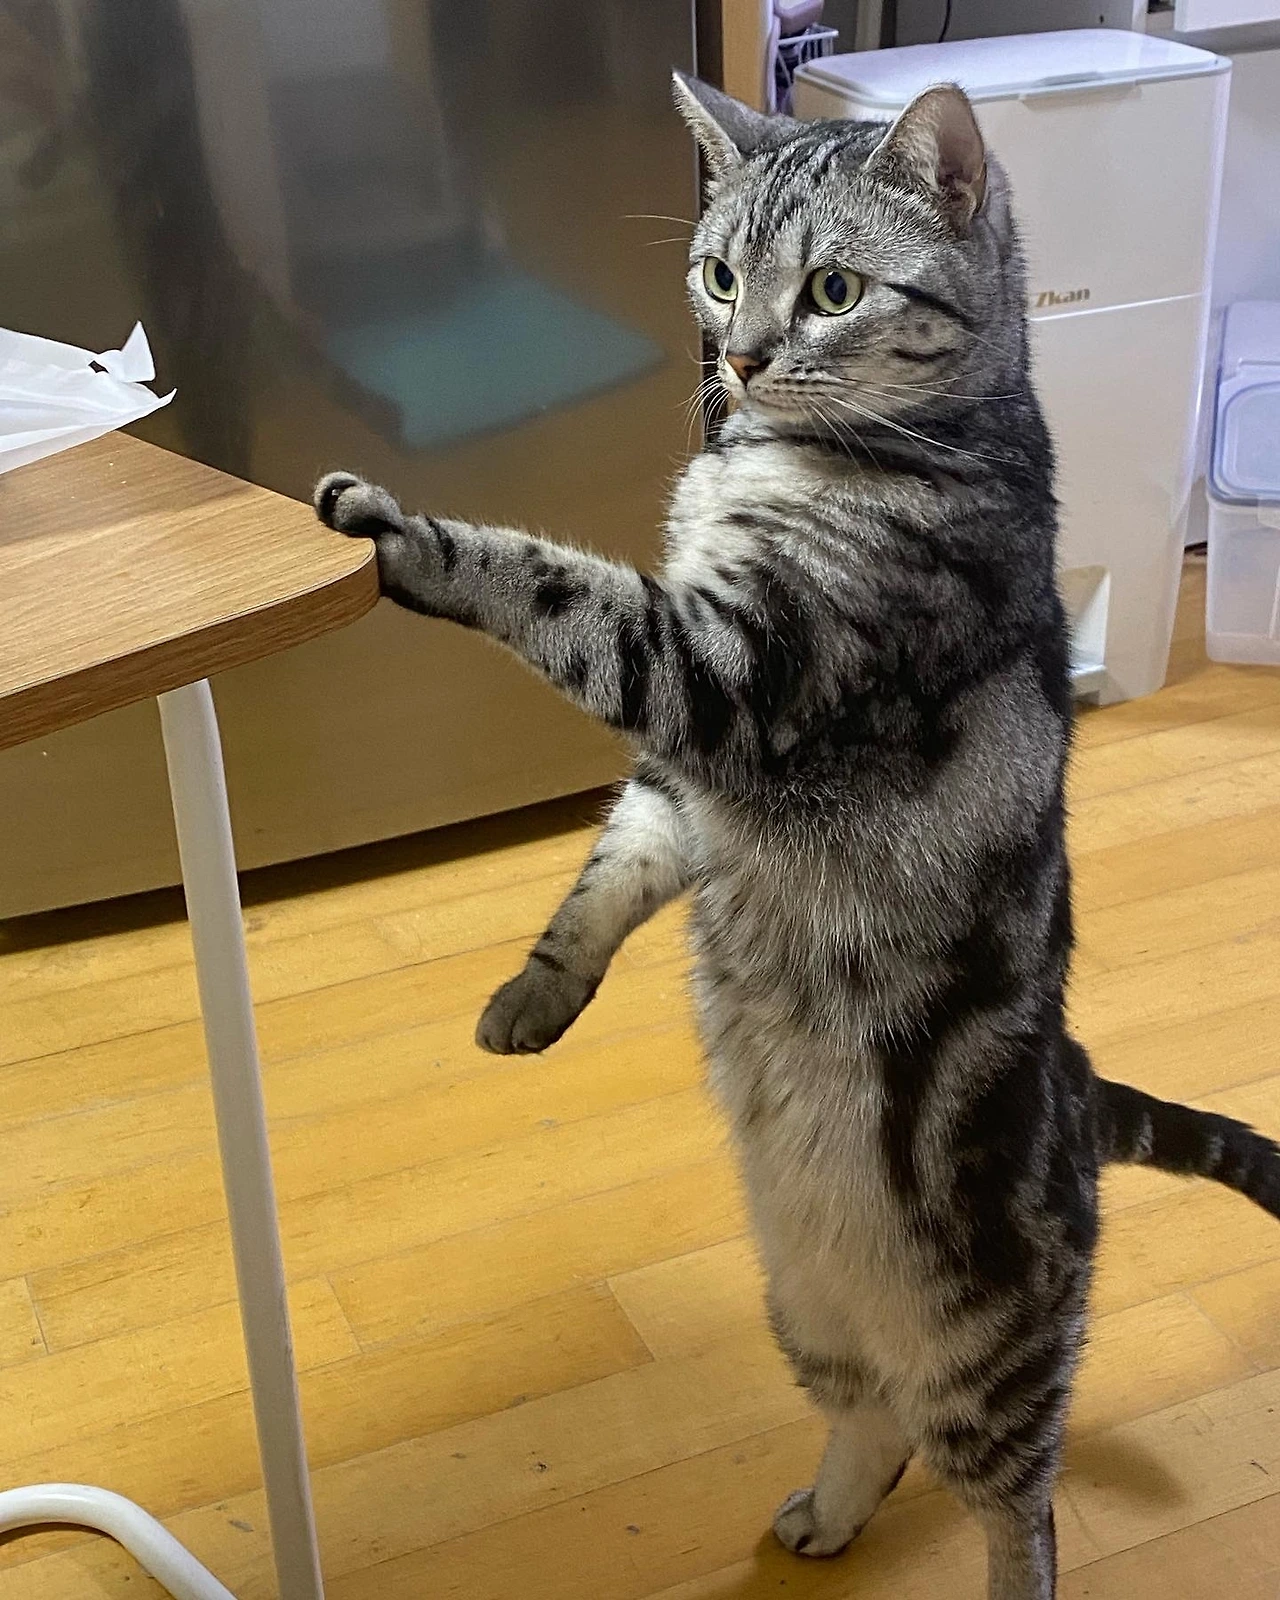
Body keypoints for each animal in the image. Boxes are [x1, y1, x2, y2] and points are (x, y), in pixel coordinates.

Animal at [314, 75, 1280, 1600]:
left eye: (832, 290)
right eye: (718, 275)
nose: (743, 358)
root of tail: (1076, 1085)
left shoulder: (724, 675)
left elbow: (549, 586)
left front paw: (407, 538)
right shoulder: (685, 776)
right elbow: (609, 868)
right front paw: (533, 996)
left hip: (987, 1349)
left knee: (1019, 1502)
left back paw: (1000, 1568)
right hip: (807, 1298)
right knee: (869, 1420)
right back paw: (824, 1513)